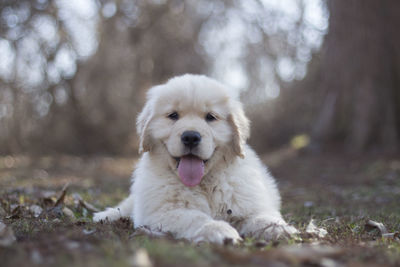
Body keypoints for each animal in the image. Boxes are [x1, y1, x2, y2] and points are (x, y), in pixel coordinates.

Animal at [94, 74, 298, 245]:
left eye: (211, 117)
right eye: (173, 115)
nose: (191, 137)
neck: (205, 183)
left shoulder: (249, 203)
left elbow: (261, 216)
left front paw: (280, 229)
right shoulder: (161, 211)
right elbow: (194, 217)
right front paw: (218, 230)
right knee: (126, 206)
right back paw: (106, 216)